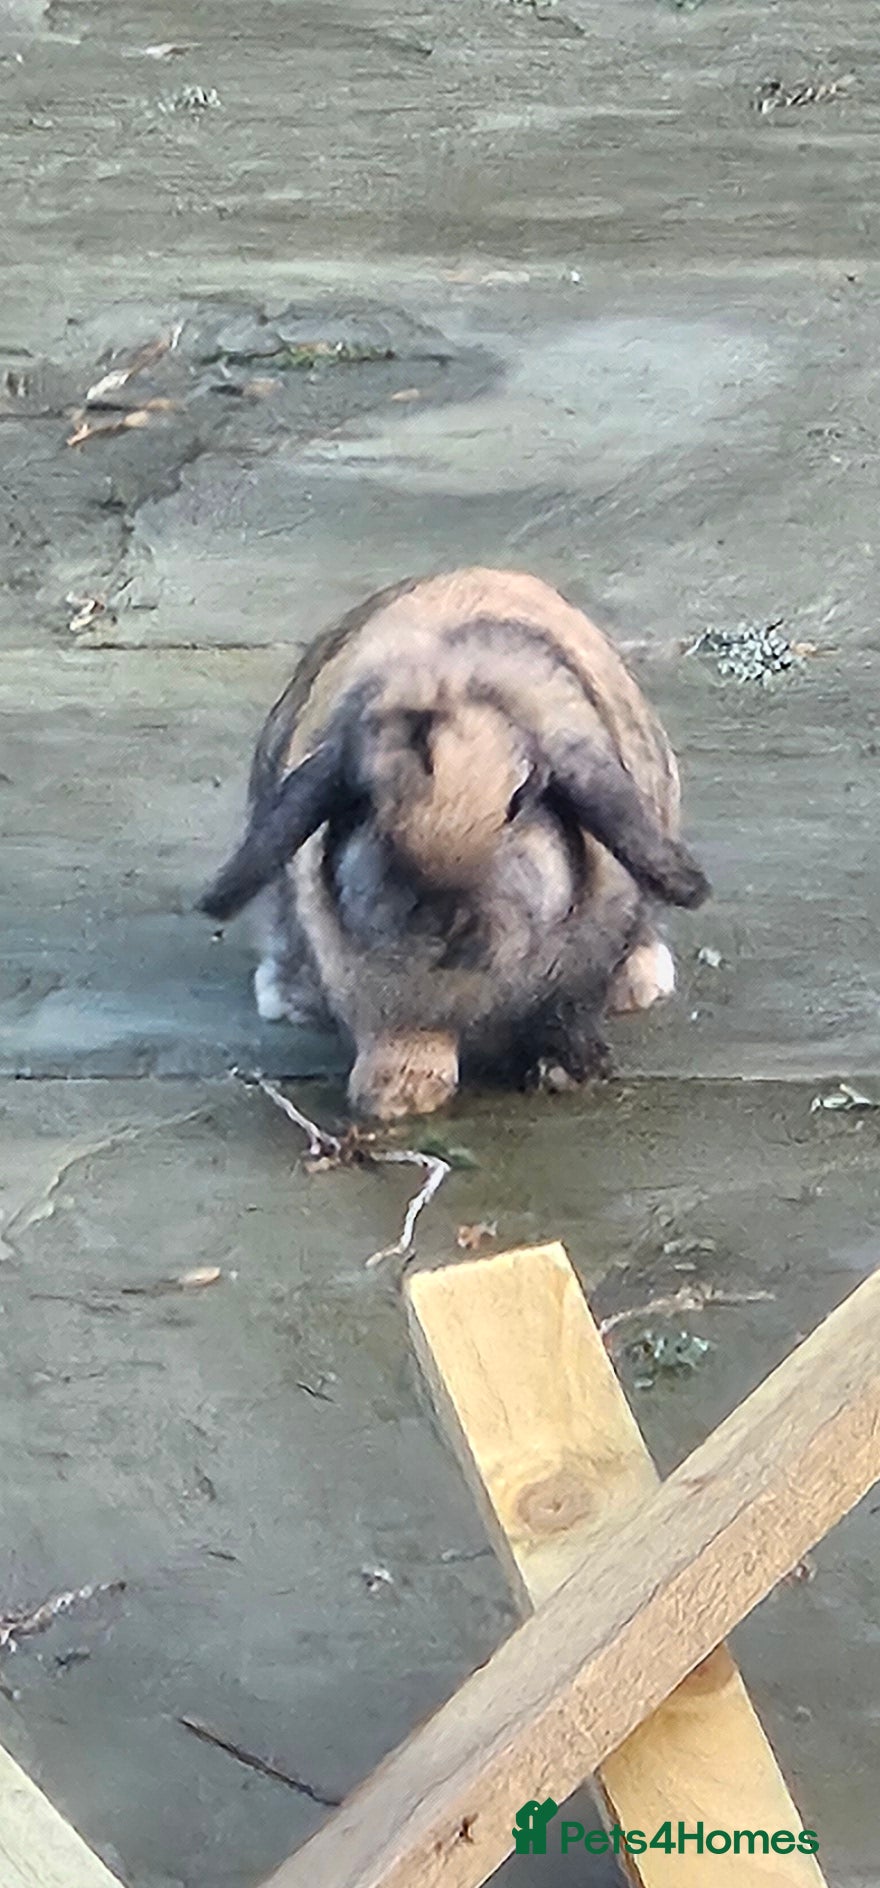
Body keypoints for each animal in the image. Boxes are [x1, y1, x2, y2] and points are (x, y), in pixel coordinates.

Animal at [198, 568, 709, 1120]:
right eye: (372, 805)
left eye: (520, 802)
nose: (444, 921)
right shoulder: (374, 981)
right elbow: (401, 1030)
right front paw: (396, 1095)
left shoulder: (584, 957)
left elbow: (566, 1011)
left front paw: (565, 1072)